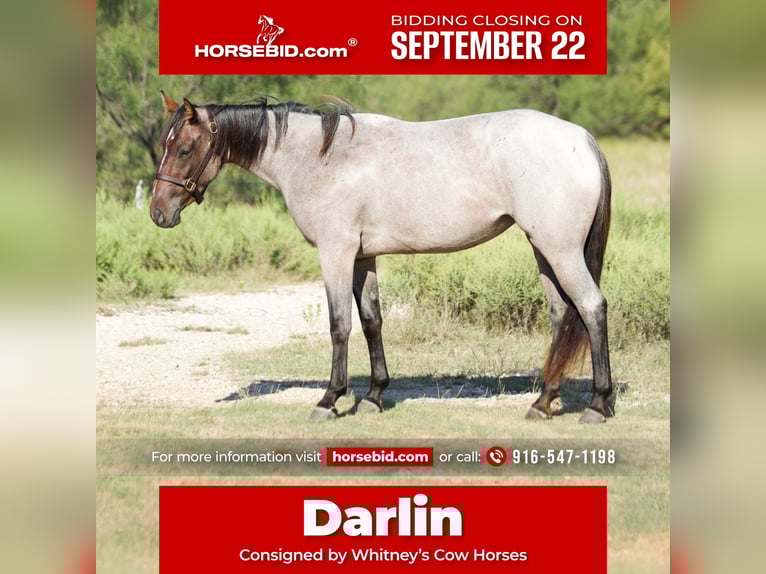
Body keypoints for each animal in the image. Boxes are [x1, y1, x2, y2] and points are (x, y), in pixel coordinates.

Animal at [151, 92, 613, 424]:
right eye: (165, 145)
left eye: (185, 150)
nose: (159, 213)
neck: (319, 157)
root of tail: (582, 139)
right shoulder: (362, 258)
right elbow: (372, 320)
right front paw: (374, 397)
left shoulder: (335, 253)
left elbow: (339, 325)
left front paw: (329, 400)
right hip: (543, 249)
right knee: (562, 315)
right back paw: (544, 402)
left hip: (559, 250)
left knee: (592, 308)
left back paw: (597, 404)